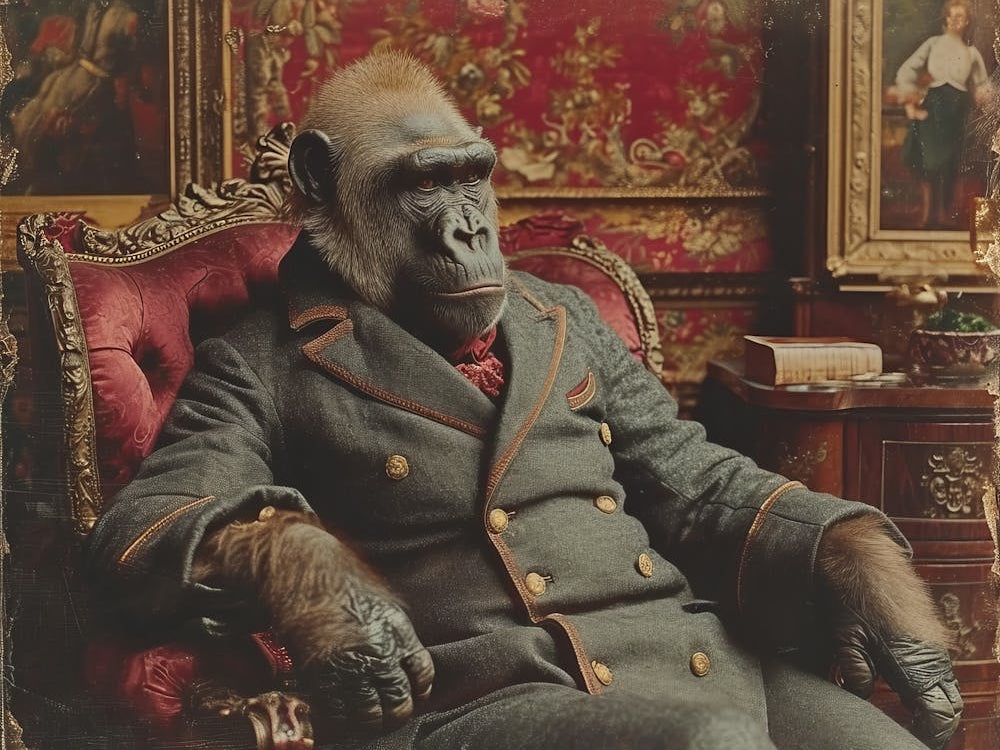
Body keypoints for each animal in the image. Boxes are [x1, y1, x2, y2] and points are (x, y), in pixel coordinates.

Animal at [86, 52, 960, 750]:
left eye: (471, 175)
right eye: (424, 183)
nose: (470, 232)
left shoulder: (593, 343)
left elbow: (702, 482)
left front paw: (882, 609)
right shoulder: (225, 373)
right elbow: (158, 514)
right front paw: (341, 607)